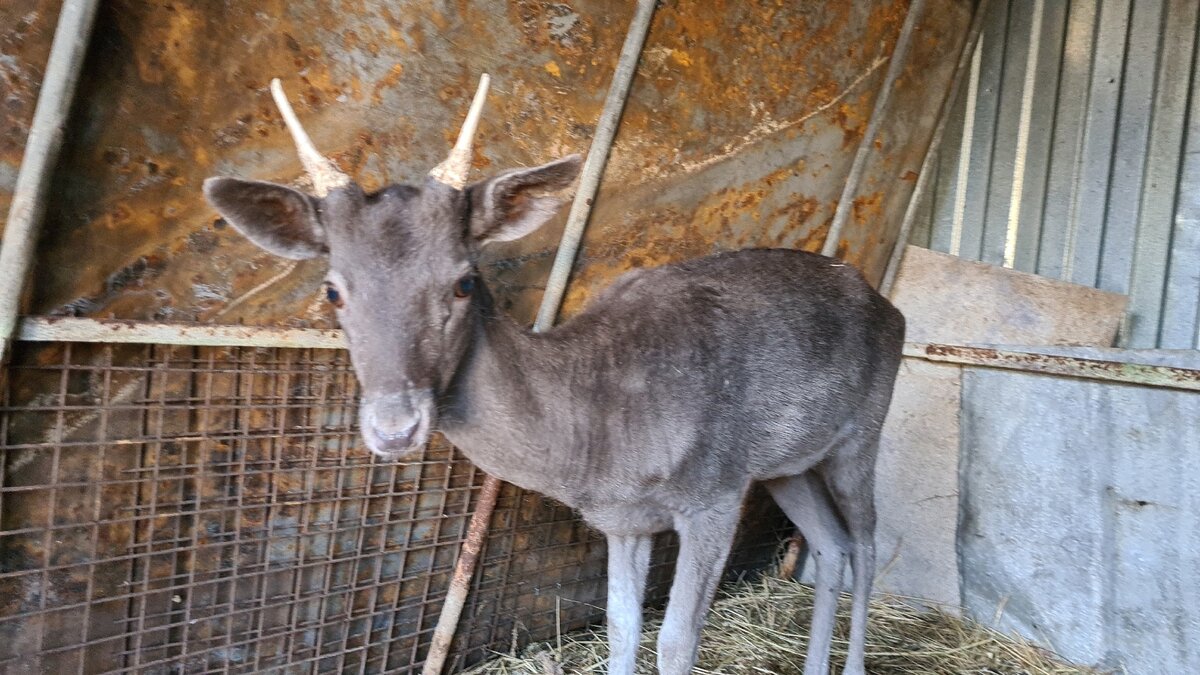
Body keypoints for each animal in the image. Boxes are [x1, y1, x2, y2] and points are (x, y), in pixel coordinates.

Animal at [204, 74, 902, 672]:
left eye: (463, 281)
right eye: (332, 291)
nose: (395, 426)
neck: (599, 441)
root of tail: (887, 304)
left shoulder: (716, 489)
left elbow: (676, 640)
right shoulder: (625, 519)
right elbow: (622, 628)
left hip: (864, 430)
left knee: (867, 543)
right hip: (789, 464)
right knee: (832, 545)